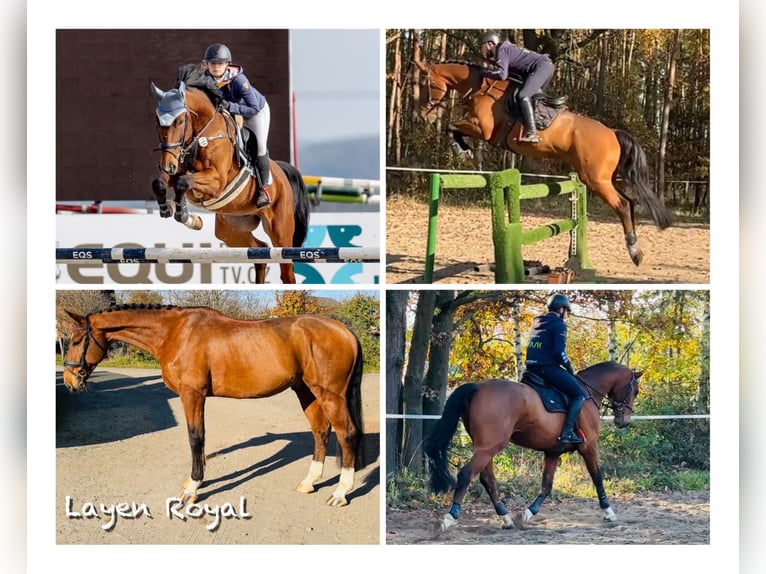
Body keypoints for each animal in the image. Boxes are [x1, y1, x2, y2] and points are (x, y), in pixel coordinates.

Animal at [61, 306, 368, 508]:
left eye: (75, 340)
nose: (69, 381)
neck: (175, 333)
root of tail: (346, 331)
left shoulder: (192, 395)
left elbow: (196, 438)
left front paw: (193, 488)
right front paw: (192, 482)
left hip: (330, 395)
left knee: (347, 434)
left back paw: (341, 493)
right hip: (305, 391)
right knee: (321, 431)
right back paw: (309, 482)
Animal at [152, 65, 310, 286]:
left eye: (181, 120)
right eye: (157, 120)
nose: (167, 165)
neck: (202, 134)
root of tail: (282, 174)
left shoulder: (216, 182)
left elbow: (183, 183)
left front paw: (184, 214)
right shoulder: (177, 171)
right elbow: (160, 182)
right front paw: (171, 210)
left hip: (280, 229)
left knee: (286, 271)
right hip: (231, 228)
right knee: (259, 249)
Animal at [416, 60, 676, 268]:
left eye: (424, 84)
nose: (423, 116)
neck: (483, 87)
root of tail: (612, 132)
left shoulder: (483, 128)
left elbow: (452, 126)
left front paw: (462, 150)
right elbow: (454, 127)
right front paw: (465, 150)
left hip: (595, 179)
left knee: (622, 205)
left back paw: (634, 252)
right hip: (605, 178)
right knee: (630, 202)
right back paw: (635, 248)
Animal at [426, 364, 640, 536]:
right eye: (635, 391)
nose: (624, 421)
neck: (588, 393)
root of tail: (479, 387)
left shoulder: (553, 452)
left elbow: (546, 486)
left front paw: (527, 514)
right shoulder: (589, 447)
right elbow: (597, 478)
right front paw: (608, 512)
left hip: (485, 448)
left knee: (487, 480)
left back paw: (507, 519)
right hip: (488, 448)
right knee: (466, 475)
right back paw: (449, 519)